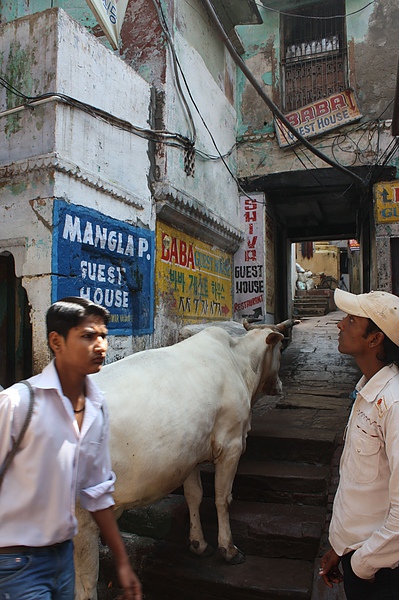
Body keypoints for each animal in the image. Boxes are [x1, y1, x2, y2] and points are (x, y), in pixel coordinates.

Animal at [73, 322, 292, 596]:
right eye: (280, 349)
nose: (280, 386)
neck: (239, 362)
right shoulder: (231, 445)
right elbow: (222, 499)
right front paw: (228, 549)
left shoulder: (190, 454)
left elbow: (194, 496)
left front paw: (199, 544)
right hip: (82, 520)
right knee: (85, 584)